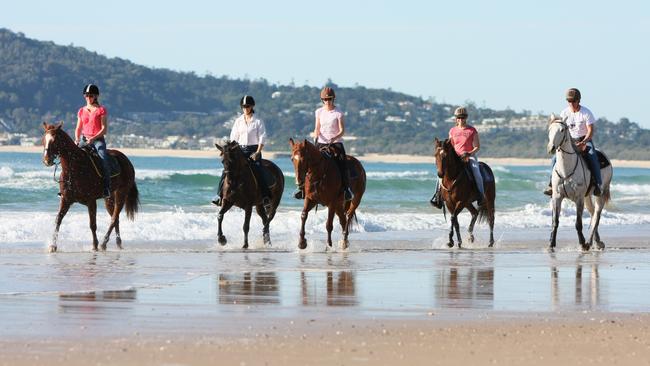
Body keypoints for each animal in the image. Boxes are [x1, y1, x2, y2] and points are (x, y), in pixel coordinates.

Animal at [42, 122, 139, 252]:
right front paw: (53, 246)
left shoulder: (91, 201)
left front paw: (95, 245)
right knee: (116, 218)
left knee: (114, 218)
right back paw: (117, 243)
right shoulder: (66, 199)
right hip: (109, 198)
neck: (75, 168)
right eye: (44, 139)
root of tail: (126, 160)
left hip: (121, 194)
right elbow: (58, 220)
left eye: (54, 140)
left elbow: (92, 224)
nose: (46, 160)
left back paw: (103, 243)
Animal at [544, 115, 612, 252]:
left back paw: (590, 242)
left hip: (600, 195)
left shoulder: (579, 198)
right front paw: (551, 244)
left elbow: (578, 223)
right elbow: (555, 221)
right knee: (592, 214)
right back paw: (597, 242)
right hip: (587, 196)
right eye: (549, 129)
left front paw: (582, 244)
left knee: (596, 217)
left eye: (562, 130)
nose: (551, 148)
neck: (566, 169)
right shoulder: (557, 197)